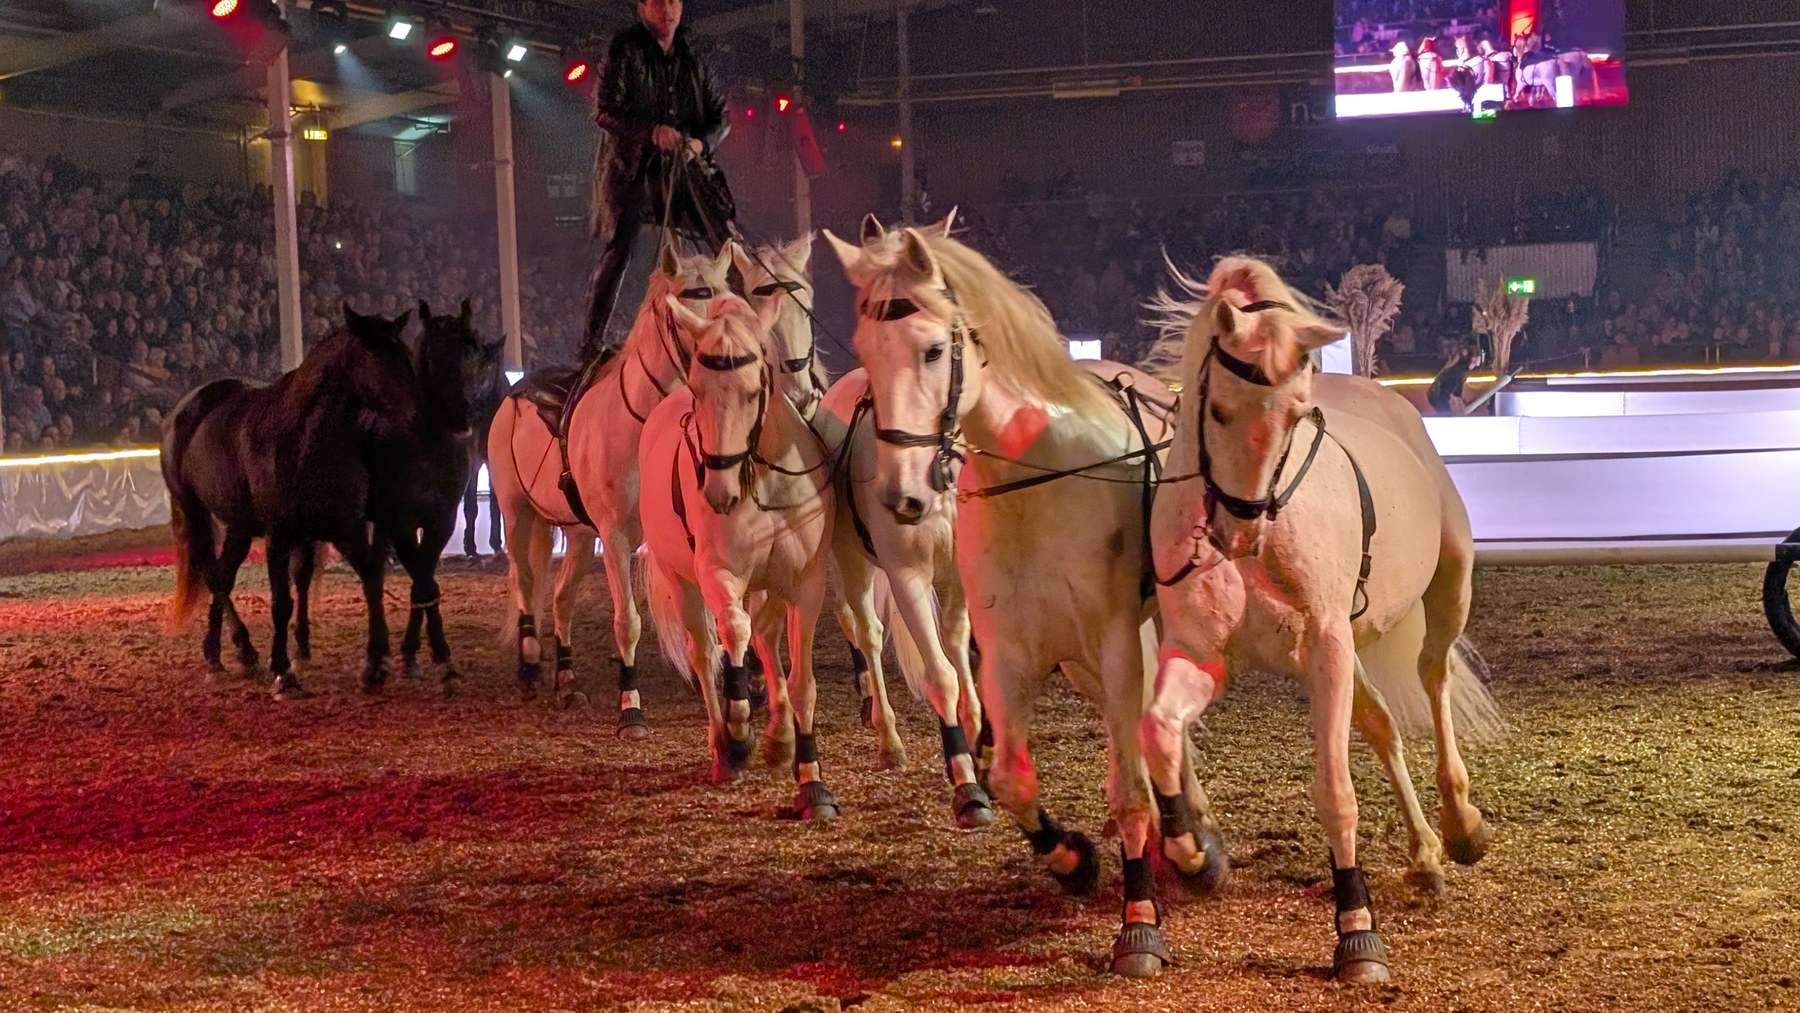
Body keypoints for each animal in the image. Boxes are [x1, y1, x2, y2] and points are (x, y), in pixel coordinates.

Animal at [163, 307, 419, 698]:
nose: (418, 416)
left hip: (239, 525)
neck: (304, 438)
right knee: (213, 576)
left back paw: (221, 654)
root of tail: (188, 407)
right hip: (193, 513)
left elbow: (370, 579)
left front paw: (375, 664)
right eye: (376, 354)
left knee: (222, 576)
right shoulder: (279, 535)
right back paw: (243, 650)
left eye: (403, 353)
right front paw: (284, 672)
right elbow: (281, 603)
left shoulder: (346, 527)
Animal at [639, 293, 839, 813]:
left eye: (754, 390)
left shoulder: (806, 584)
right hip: (683, 582)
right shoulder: (718, 572)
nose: (719, 494)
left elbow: (802, 681)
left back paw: (778, 738)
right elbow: (733, 631)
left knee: (765, 637)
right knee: (707, 651)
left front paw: (810, 778)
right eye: (697, 389)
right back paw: (725, 746)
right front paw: (738, 730)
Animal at [823, 225, 1223, 977]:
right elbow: (1009, 775)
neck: (1042, 474)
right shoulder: (1008, 650)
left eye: (932, 349)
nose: (901, 494)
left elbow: (1130, 786)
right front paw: (1071, 858)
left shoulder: (1116, 639)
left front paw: (1141, 920)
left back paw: (1191, 841)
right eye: (863, 349)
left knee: (1159, 726)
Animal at [1138, 256, 1502, 983]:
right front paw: (1194, 854)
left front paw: (1357, 934)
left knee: (1434, 680)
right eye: (1217, 408)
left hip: (1447, 592)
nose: (1243, 533)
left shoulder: (1326, 649)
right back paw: (1424, 856)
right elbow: (1160, 734)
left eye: (1298, 414)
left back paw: (1460, 824)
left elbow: (1335, 790)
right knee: (1382, 725)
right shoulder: (1199, 651)